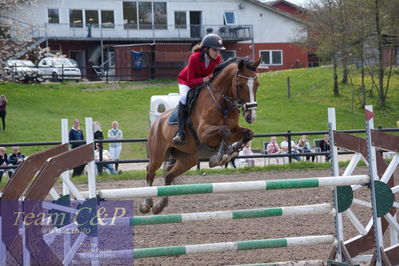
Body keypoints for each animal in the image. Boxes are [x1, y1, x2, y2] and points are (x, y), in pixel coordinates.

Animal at [141, 56, 262, 214]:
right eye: (241, 85)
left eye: (257, 85)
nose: (251, 116)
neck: (222, 103)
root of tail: (156, 122)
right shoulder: (203, 133)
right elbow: (225, 131)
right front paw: (218, 158)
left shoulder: (235, 130)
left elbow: (247, 134)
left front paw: (227, 154)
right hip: (157, 154)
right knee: (150, 172)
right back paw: (146, 204)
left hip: (188, 159)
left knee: (169, 175)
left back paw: (159, 206)